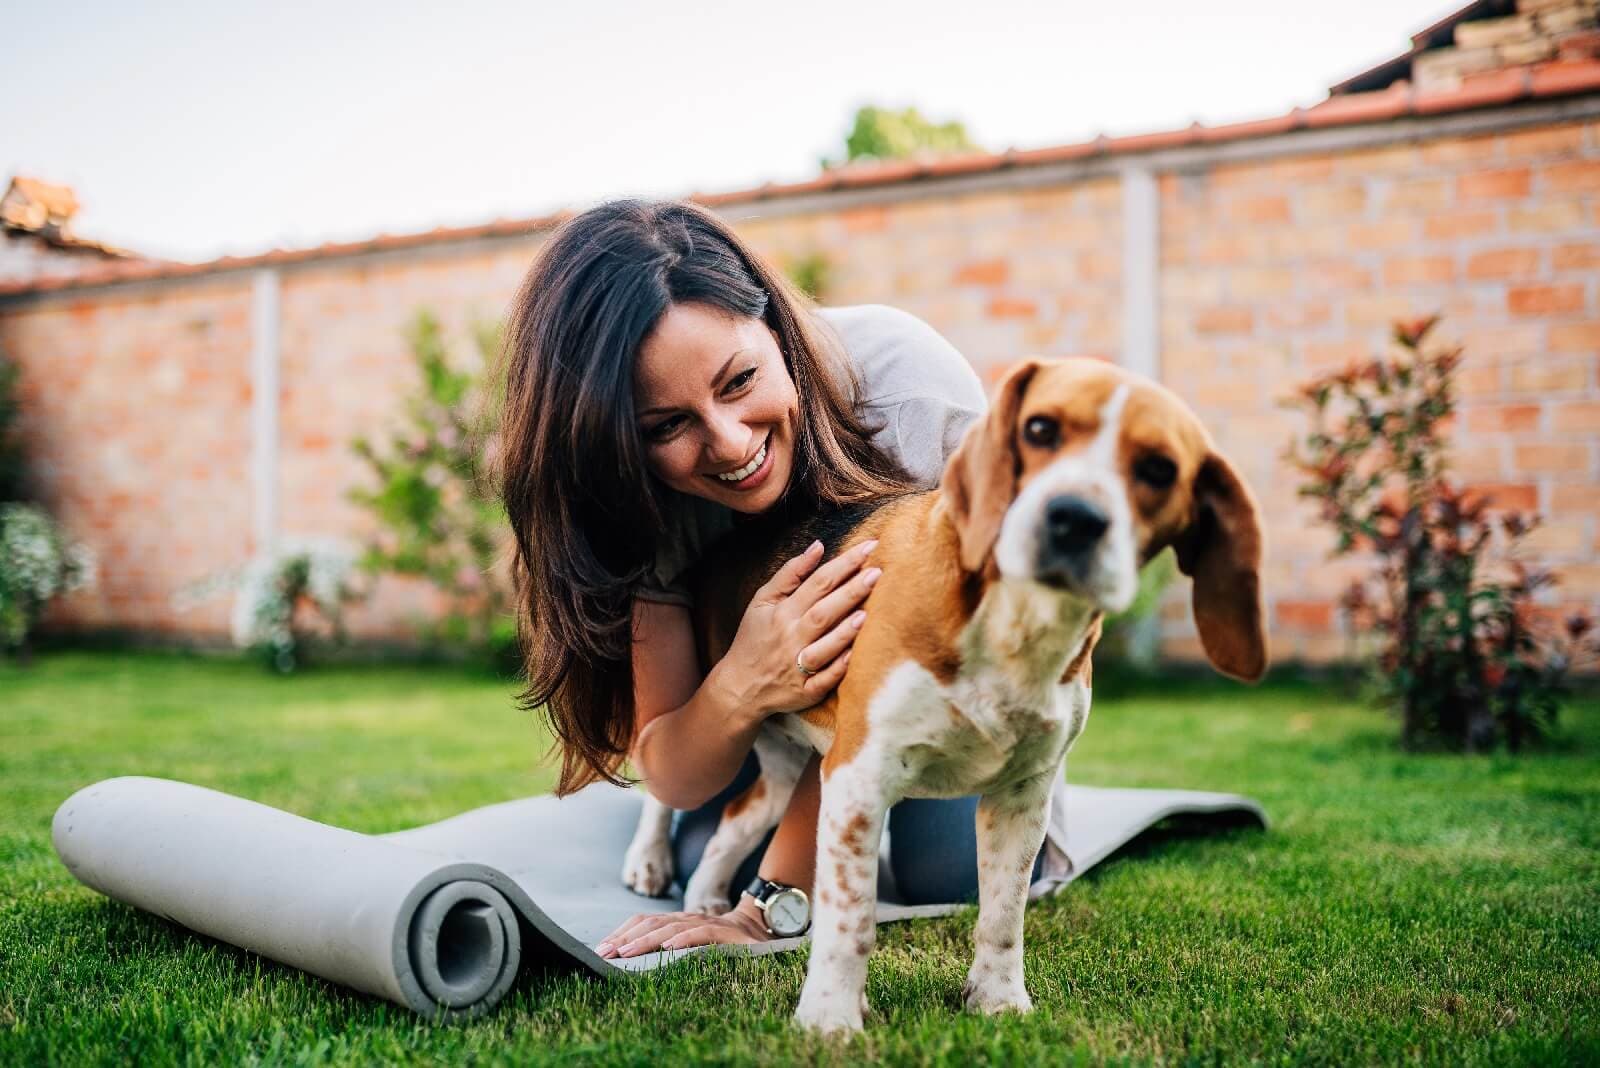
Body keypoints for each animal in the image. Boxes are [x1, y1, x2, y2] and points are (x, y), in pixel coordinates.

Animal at [620, 358, 1260, 1036]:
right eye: (1040, 428)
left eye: (1160, 469)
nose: (1075, 518)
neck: (1016, 623)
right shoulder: (858, 779)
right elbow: (850, 920)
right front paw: (829, 1020)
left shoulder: (1019, 798)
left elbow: (1003, 915)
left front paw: (997, 1001)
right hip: (712, 708)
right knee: (662, 781)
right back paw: (650, 861)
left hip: (787, 760)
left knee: (736, 819)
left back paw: (706, 897)